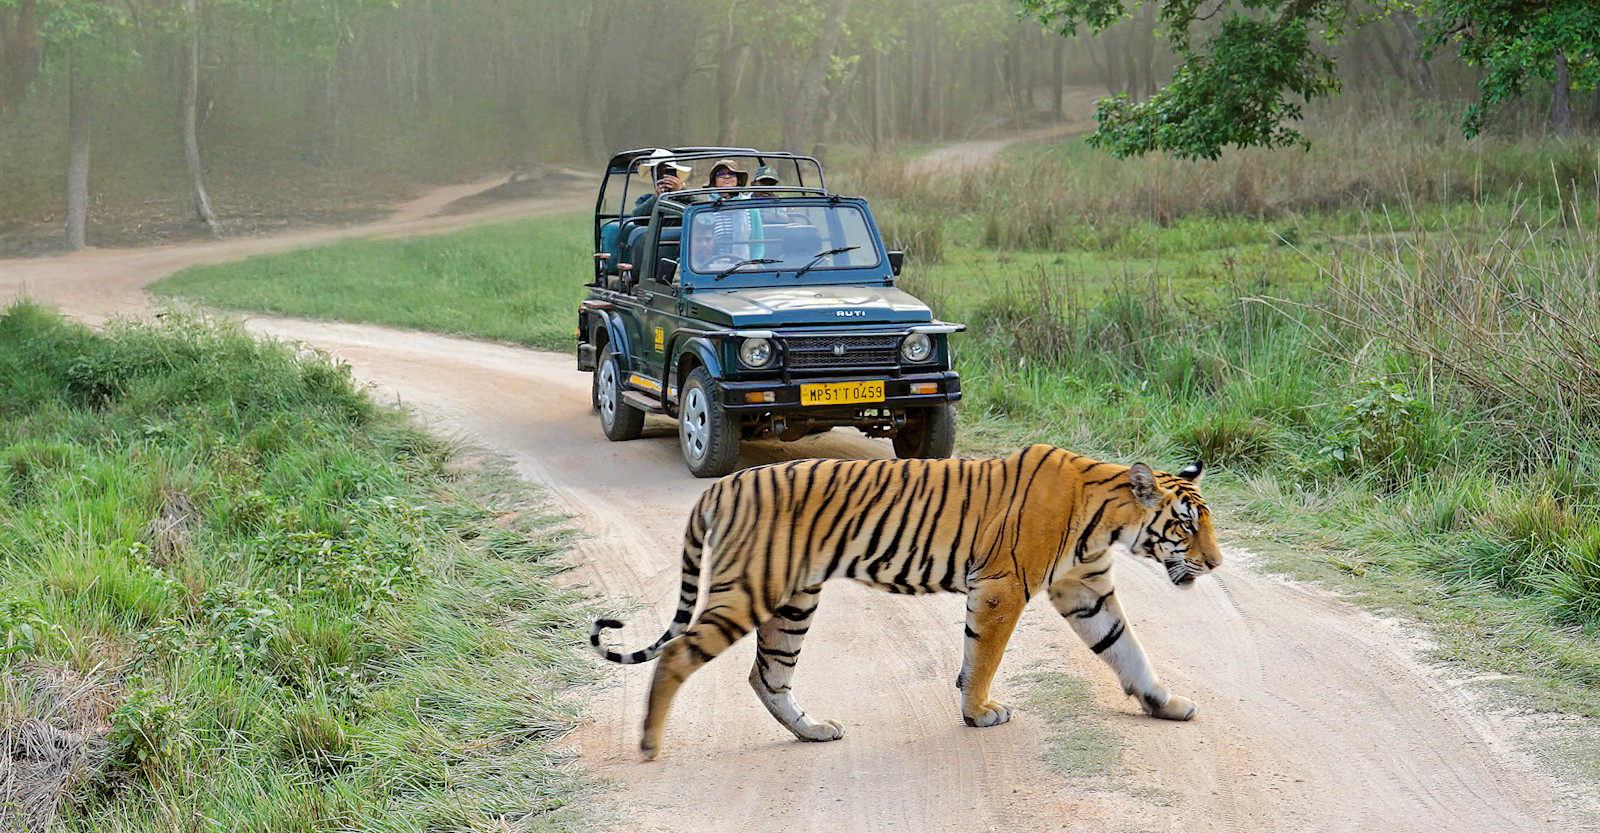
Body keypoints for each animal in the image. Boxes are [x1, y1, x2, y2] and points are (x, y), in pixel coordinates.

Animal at [589, 444, 1221, 760]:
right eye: (1186, 526)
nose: (1216, 564)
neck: (1108, 520)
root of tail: (721, 484)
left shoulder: (1084, 591)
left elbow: (1127, 650)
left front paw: (1165, 704)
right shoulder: (1003, 586)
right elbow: (983, 658)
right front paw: (978, 713)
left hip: (794, 601)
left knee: (767, 675)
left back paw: (813, 731)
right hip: (748, 590)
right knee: (679, 656)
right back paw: (648, 745)